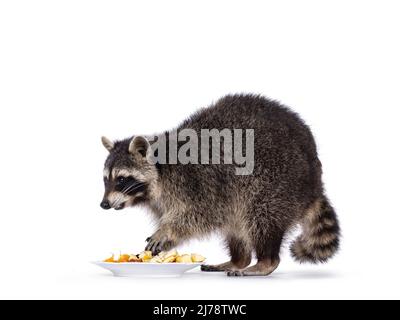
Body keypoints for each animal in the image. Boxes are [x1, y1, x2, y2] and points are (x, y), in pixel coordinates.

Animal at [101, 94, 340, 276]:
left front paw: (167, 230)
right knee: (236, 227)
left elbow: (199, 214)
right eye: (105, 179)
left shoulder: (198, 182)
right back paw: (239, 259)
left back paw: (265, 262)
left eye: (121, 179)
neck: (161, 170)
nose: (103, 204)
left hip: (279, 182)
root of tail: (315, 183)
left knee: (261, 217)